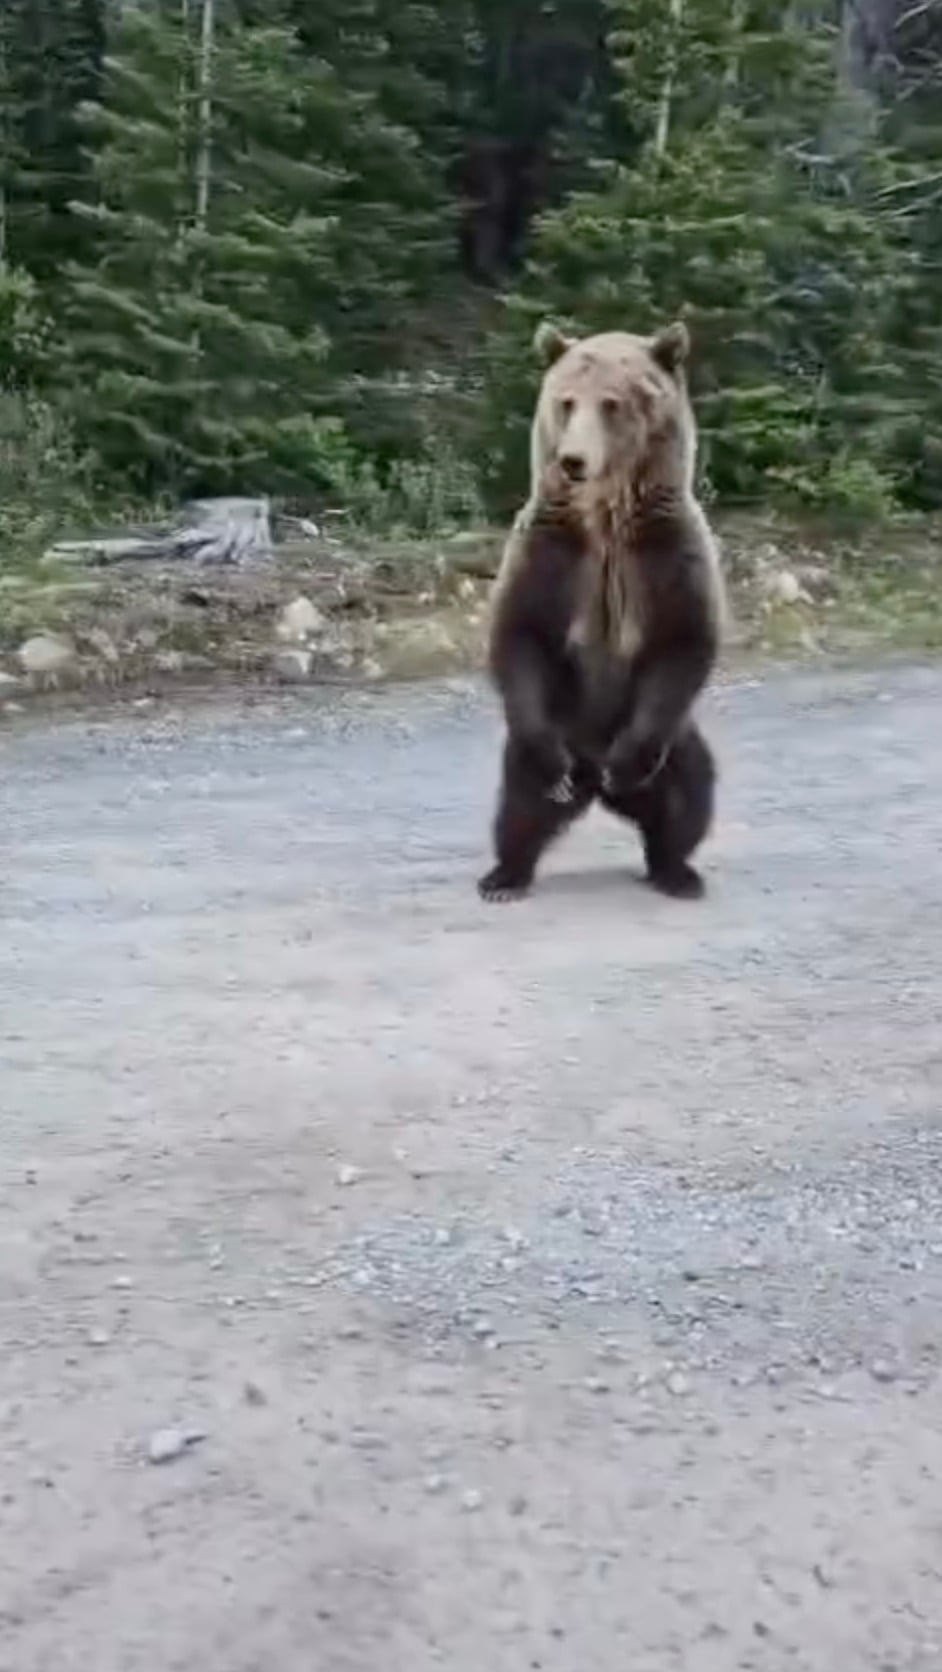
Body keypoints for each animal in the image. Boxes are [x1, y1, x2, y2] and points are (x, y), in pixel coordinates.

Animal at [477, 316, 725, 904]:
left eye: (612, 403)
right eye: (566, 401)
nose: (573, 460)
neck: (608, 519)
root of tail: (595, 786)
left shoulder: (668, 552)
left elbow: (684, 639)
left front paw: (629, 765)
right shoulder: (551, 551)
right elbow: (520, 632)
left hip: (676, 744)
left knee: (689, 797)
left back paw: (676, 870)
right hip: (554, 728)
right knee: (518, 805)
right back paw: (505, 875)